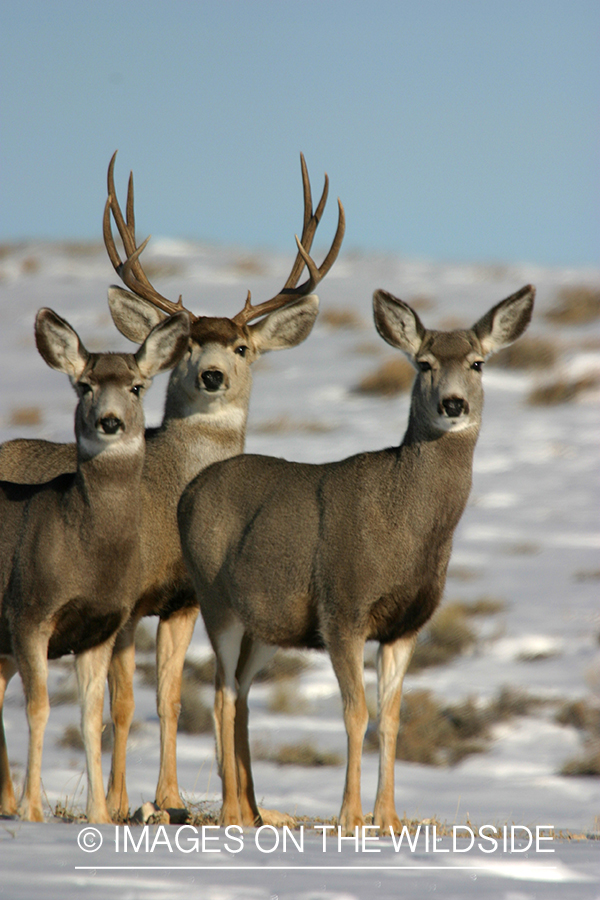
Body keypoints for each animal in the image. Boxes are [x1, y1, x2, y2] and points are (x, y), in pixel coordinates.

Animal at [0, 307, 189, 822]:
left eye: (137, 386)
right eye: (84, 385)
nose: (109, 421)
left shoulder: (100, 626)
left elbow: (92, 717)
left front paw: (101, 815)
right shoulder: (29, 612)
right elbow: (39, 709)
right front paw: (33, 812)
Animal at [177, 283, 535, 833]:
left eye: (477, 363)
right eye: (424, 363)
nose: (453, 404)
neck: (405, 528)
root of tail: (188, 492)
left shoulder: (406, 623)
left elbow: (390, 717)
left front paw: (388, 819)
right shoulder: (342, 606)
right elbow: (355, 712)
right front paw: (349, 817)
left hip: (267, 627)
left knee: (237, 691)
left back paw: (253, 811)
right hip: (216, 600)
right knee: (222, 695)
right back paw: (233, 813)